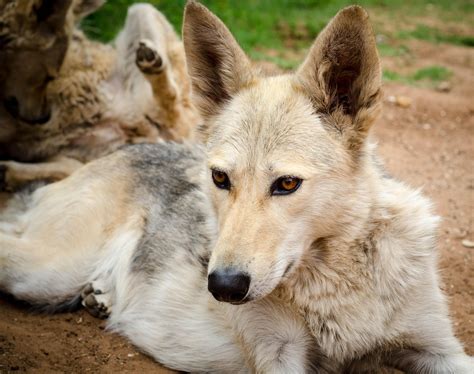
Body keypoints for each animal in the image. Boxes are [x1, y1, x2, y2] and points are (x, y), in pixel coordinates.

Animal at [0, 2, 474, 374]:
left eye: (287, 183)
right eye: (220, 179)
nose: (223, 287)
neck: (335, 281)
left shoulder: (439, 348)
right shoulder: (279, 356)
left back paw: (99, 296)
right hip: (46, 271)